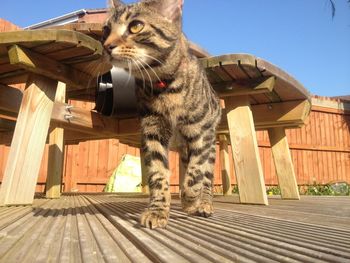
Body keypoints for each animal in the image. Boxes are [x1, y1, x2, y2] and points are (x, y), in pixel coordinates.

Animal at [102, 0, 220, 229]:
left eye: (136, 26)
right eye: (106, 29)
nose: (106, 45)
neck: (165, 86)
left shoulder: (201, 132)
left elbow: (196, 173)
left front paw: (190, 200)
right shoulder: (153, 130)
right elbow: (158, 173)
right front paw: (157, 211)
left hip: (210, 142)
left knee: (206, 176)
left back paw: (204, 203)